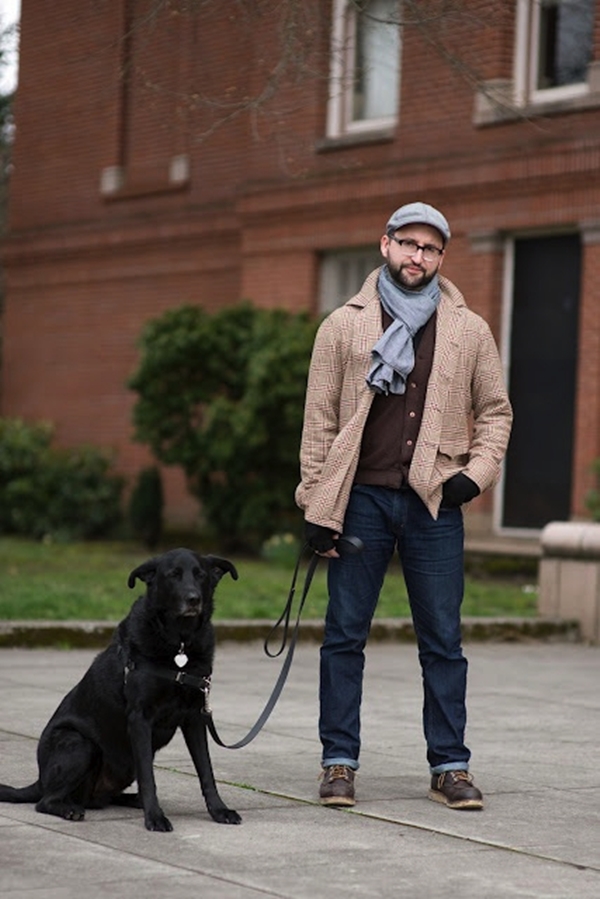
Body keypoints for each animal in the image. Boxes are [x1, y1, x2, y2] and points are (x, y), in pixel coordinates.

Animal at [0, 544, 244, 832]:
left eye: (201, 575)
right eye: (173, 575)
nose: (193, 599)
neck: (180, 646)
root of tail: (40, 780)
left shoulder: (195, 718)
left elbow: (206, 771)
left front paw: (219, 810)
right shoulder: (140, 719)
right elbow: (149, 778)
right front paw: (155, 817)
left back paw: (132, 800)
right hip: (79, 743)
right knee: (45, 801)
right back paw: (69, 809)